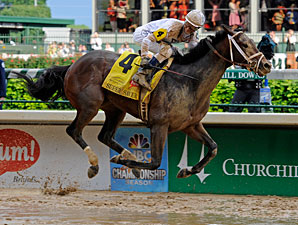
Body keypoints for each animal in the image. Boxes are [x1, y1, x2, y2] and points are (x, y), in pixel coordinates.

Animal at [16, 25, 272, 179]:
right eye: (245, 44)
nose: (267, 64)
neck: (191, 81)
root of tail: (72, 64)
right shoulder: (160, 124)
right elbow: (156, 162)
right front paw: (126, 163)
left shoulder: (191, 125)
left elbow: (213, 148)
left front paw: (188, 171)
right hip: (89, 105)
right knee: (74, 131)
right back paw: (96, 164)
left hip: (115, 109)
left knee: (104, 136)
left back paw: (126, 155)